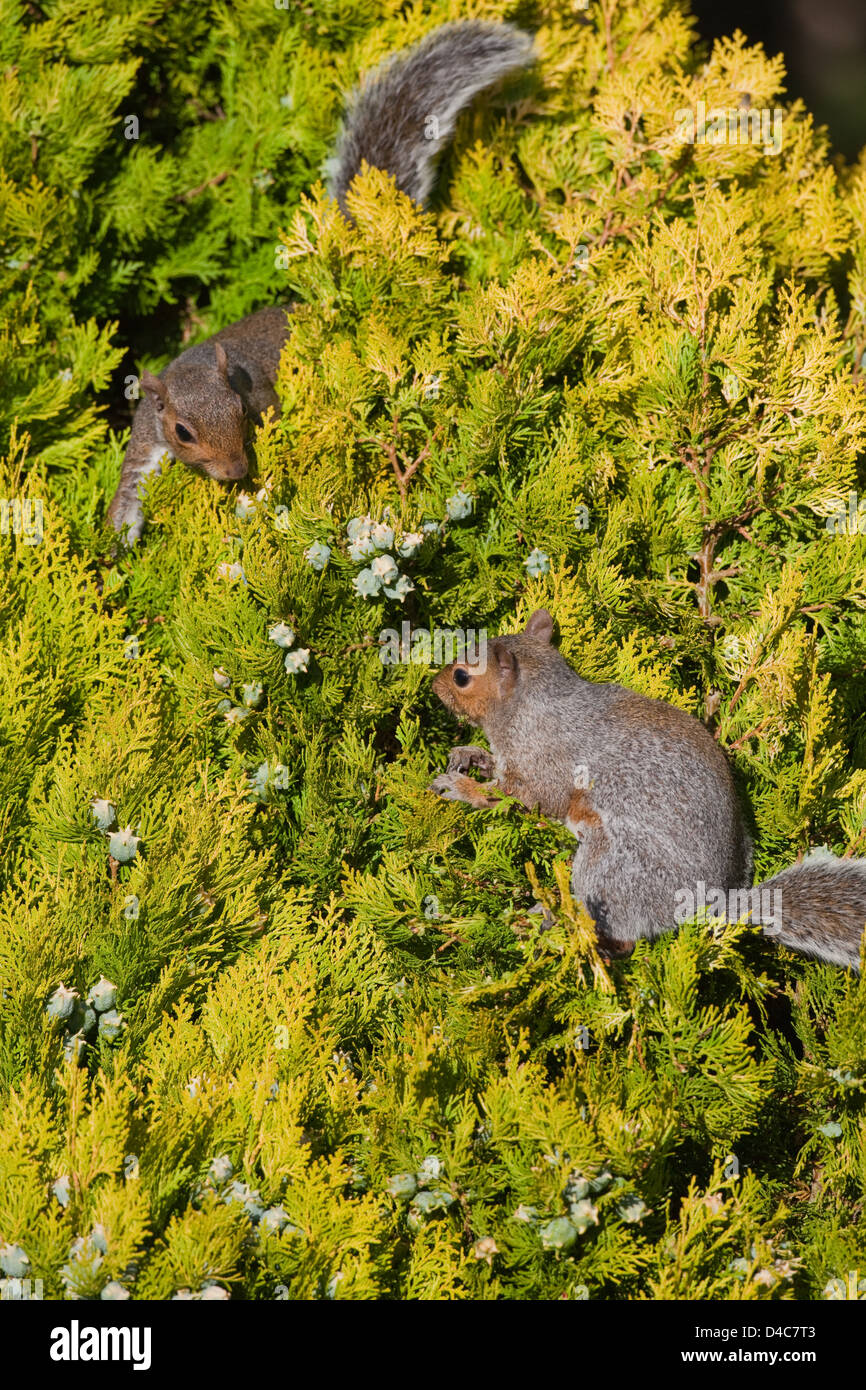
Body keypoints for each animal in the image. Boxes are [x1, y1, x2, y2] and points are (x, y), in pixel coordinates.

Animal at [106, 20, 535, 544]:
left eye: (239, 412)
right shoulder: (147, 437)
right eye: (182, 432)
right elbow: (130, 488)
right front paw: (116, 545)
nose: (235, 471)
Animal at [430, 609, 866, 971]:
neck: (530, 707)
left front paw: (459, 786)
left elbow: (519, 798)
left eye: (462, 677)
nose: (433, 685)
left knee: (622, 935)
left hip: (614, 868)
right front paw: (469, 755)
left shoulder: (545, 768)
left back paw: (566, 924)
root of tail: (708, 901)